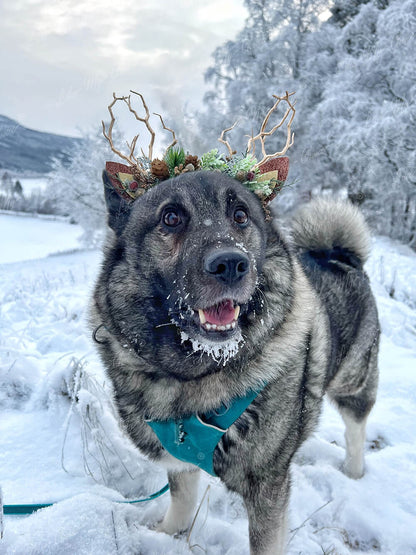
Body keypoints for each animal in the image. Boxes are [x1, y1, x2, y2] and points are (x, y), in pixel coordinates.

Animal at [91, 172, 380, 552]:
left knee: (356, 427)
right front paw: (166, 534)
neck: (194, 376)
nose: (230, 264)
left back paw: (355, 471)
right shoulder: (182, 457)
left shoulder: (267, 488)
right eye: (171, 217)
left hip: (353, 381)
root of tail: (339, 256)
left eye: (240, 215)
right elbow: (182, 499)